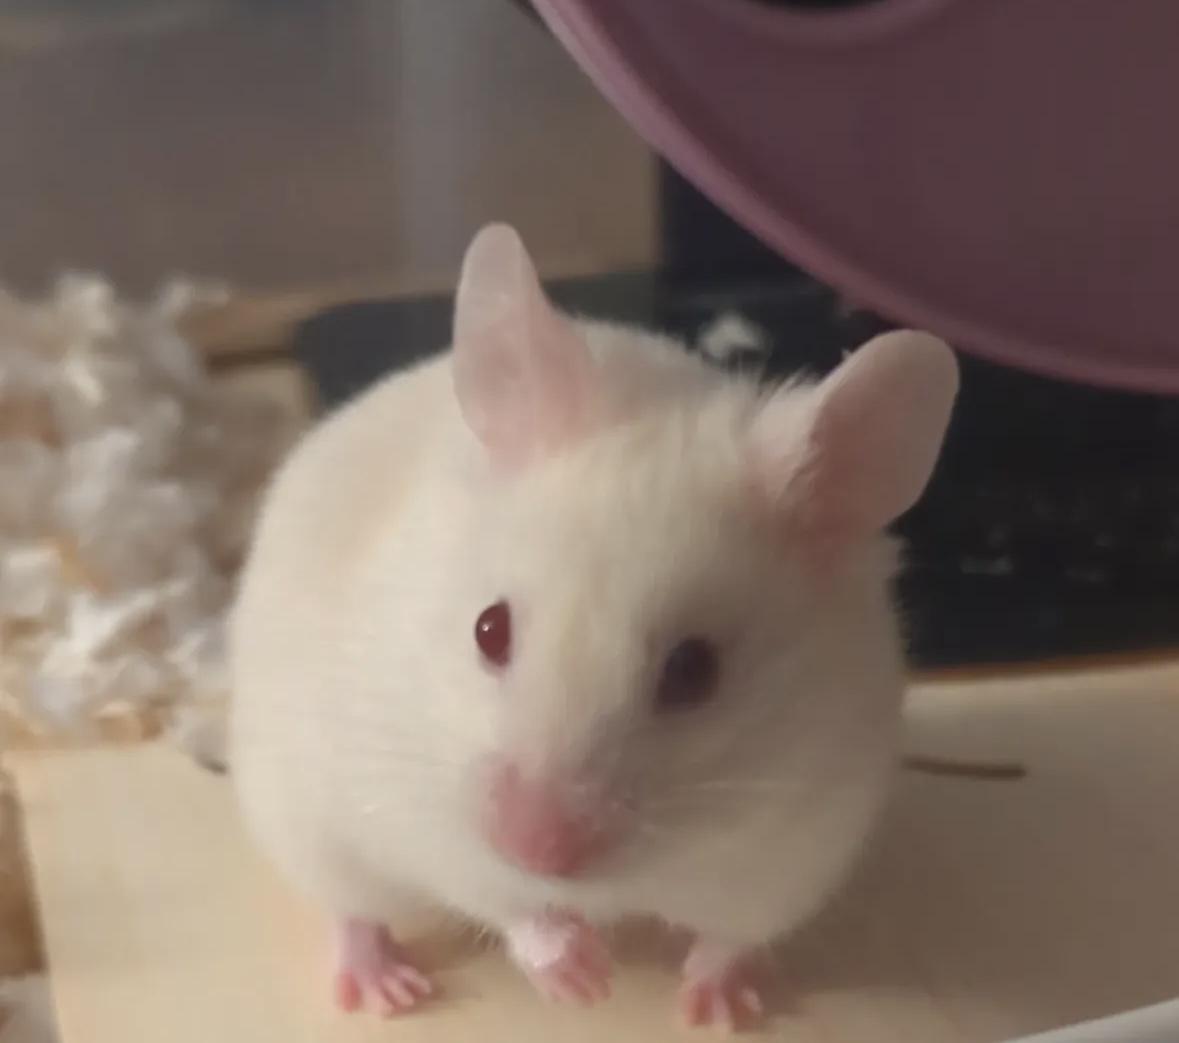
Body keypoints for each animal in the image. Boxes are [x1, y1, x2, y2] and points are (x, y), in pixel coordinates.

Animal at [228, 223, 959, 1030]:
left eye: (694, 670)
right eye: (488, 629)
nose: (536, 850)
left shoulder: (795, 851)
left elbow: (729, 937)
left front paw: (716, 1013)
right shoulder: (437, 816)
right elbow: (510, 904)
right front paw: (583, 981)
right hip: (305, 820)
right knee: (352, 909)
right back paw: (388, 993)